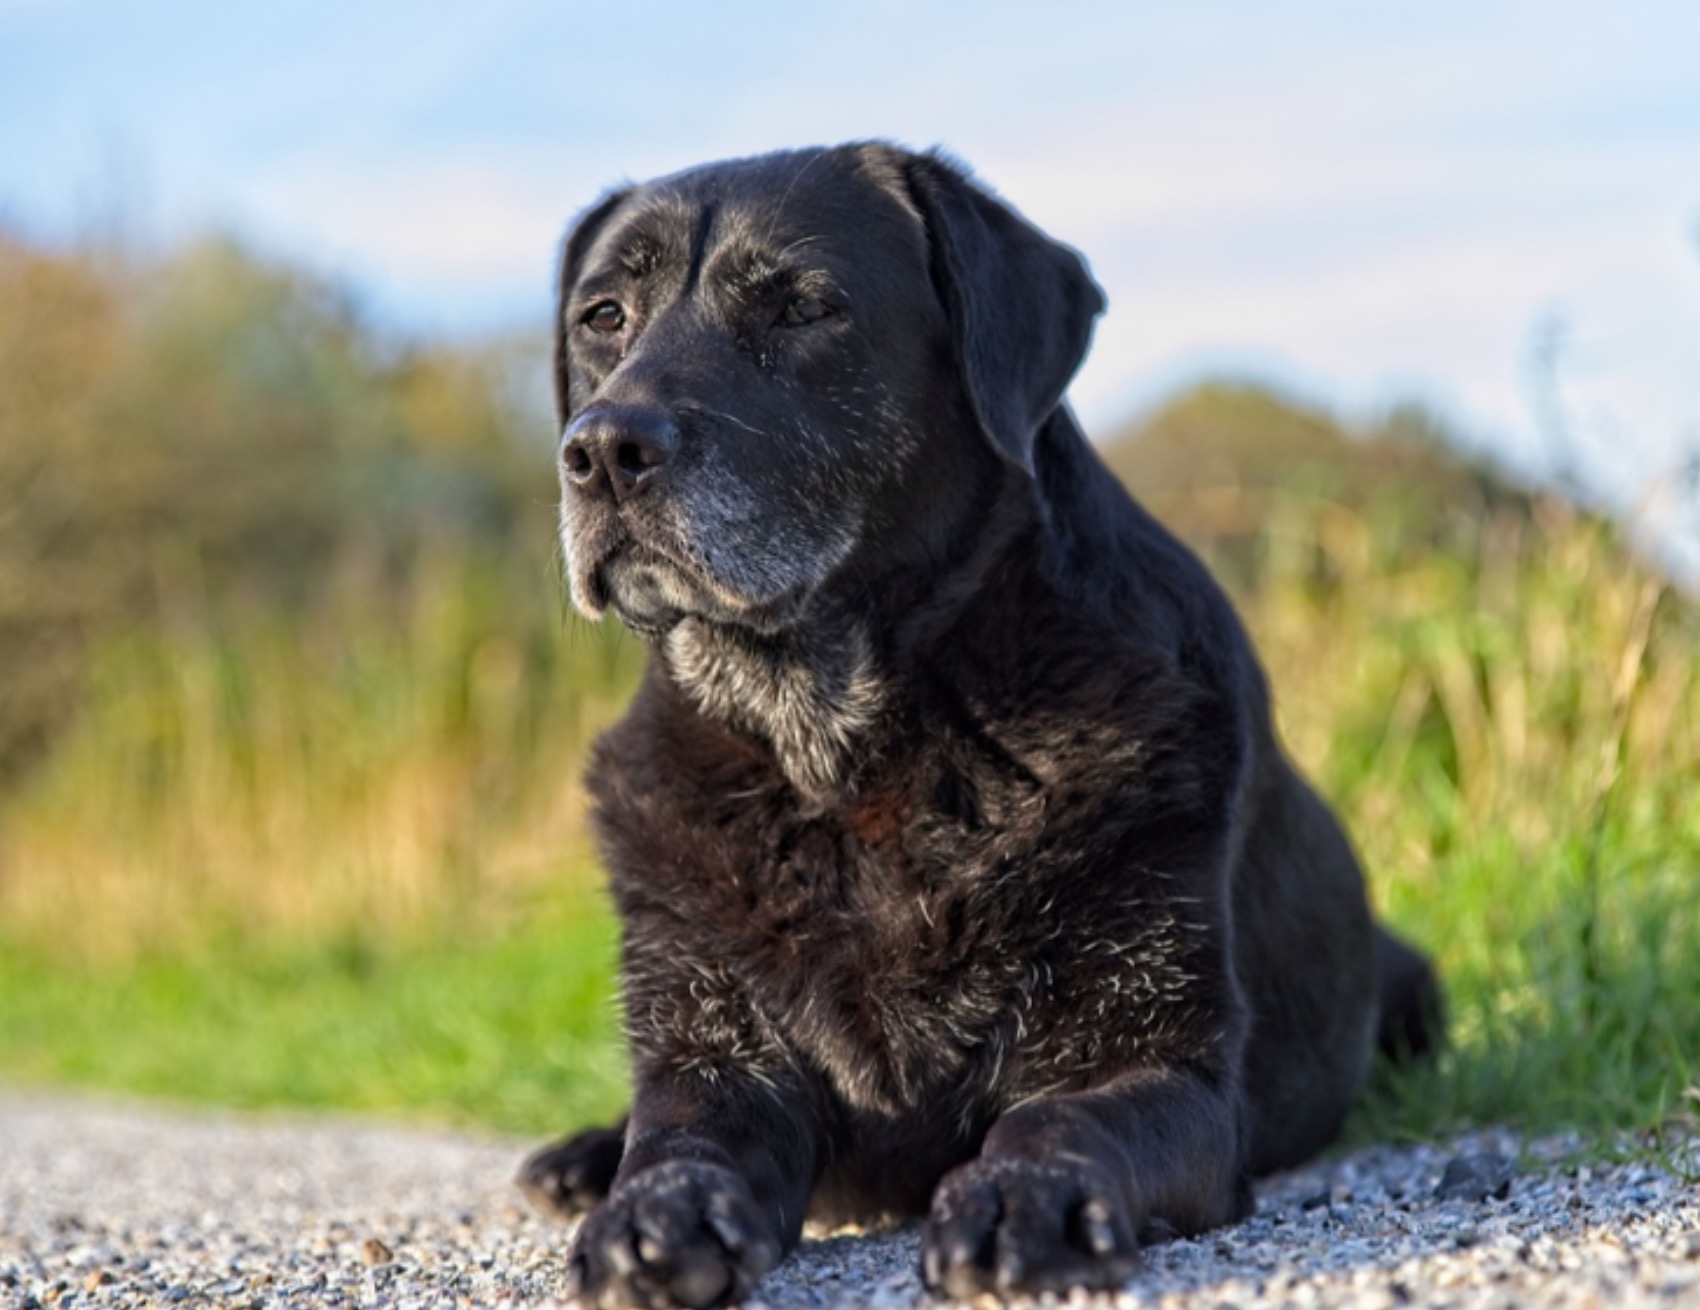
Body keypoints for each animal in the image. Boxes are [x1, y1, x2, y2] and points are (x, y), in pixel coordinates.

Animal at [523, 138, 1441, 1304]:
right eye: (603, 317)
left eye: (803, 307)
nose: (602, 449)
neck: (839, 752)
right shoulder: (711, 1046)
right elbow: (677, 1135)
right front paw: (646, 1209)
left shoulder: (1155, 1060)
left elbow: (1058, 1117)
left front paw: (1022, 1196)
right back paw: (579, 1159)